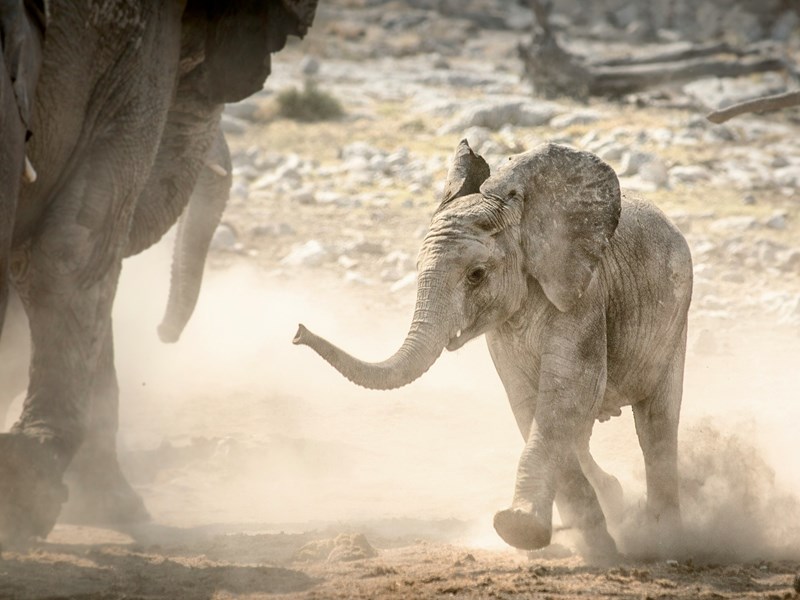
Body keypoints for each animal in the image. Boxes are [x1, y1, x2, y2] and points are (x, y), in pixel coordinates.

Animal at [294, 140, 693, 559]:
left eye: (476, 275)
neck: (524, 220)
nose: (298, 331)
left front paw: (521, 530)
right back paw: (615, 501)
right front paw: (587, 548)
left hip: (676, 317)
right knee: (583, 433)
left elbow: (565, 399)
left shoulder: (584, 297)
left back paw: (667, 542)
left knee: (656, 425)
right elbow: (530, 406)